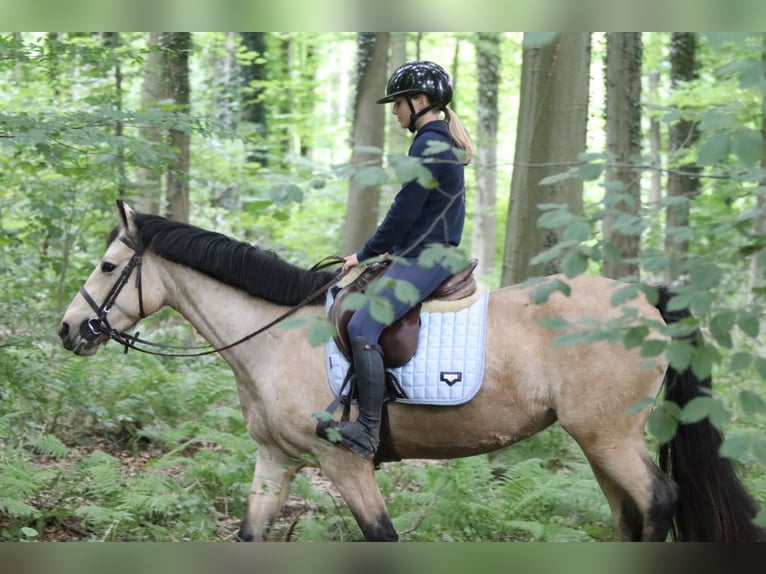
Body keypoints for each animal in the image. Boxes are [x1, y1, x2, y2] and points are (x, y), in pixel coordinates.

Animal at [58, 200, 764, 542]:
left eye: (106, 265)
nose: (69, 329)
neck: (275, 337)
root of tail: (644, 299)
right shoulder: (275, 460)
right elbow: (250, 536)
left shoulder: (345, 465)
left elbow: (383, 537)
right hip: (597, 441)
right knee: (631, 514)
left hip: (608, 434)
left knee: (659, 501)